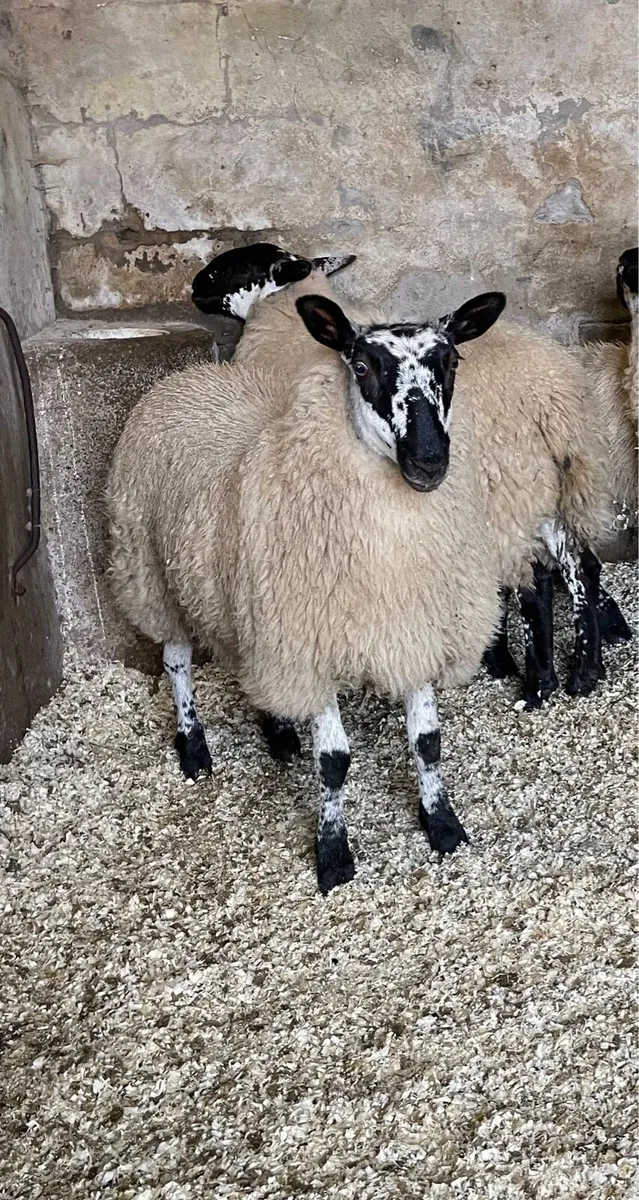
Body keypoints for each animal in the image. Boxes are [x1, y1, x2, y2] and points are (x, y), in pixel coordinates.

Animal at [107, 292, 507, 893]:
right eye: (361, 367)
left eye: (452, 361)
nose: (429, 461)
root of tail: (187, 377)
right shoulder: (309, 643)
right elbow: (334, 762)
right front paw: (334, 854)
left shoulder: (415, 627)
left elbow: (427, 743)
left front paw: (442, 825)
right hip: (152, 573)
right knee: (176, 660)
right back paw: (194, 748)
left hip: (237, 595)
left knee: (242, 658)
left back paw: (276, 733)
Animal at [193, 244, 619, 711]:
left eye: (234, 265)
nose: (194, 286)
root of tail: (555, 399)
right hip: (557, 486)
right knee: (582, 564)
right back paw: (586, 669)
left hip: (509, 490)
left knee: (537, 581)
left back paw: (538, 684)